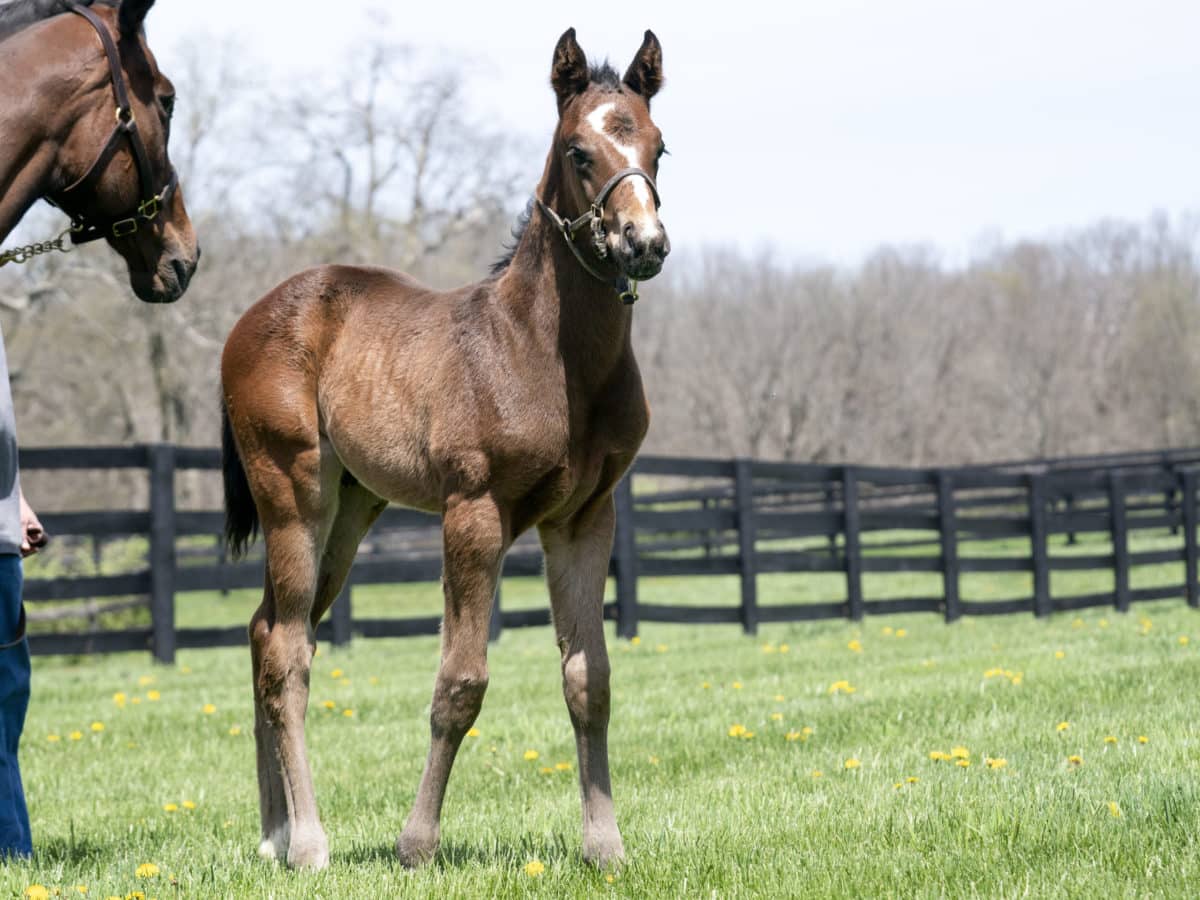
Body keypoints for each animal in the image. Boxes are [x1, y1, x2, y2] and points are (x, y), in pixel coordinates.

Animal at [222, 30, 672, 873]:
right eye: (578, 152)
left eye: (660, 147)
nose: (644, 243)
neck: (543, 350)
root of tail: (250, 319)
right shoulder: (473, 513)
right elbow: (460, 683)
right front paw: (416, 843)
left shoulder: (585, 519)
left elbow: (589, 679)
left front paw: (605, 845)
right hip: (294, 493)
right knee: (289, 652)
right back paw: (309, 842)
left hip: (351, 510)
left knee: (266, 631)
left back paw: (273, 833)